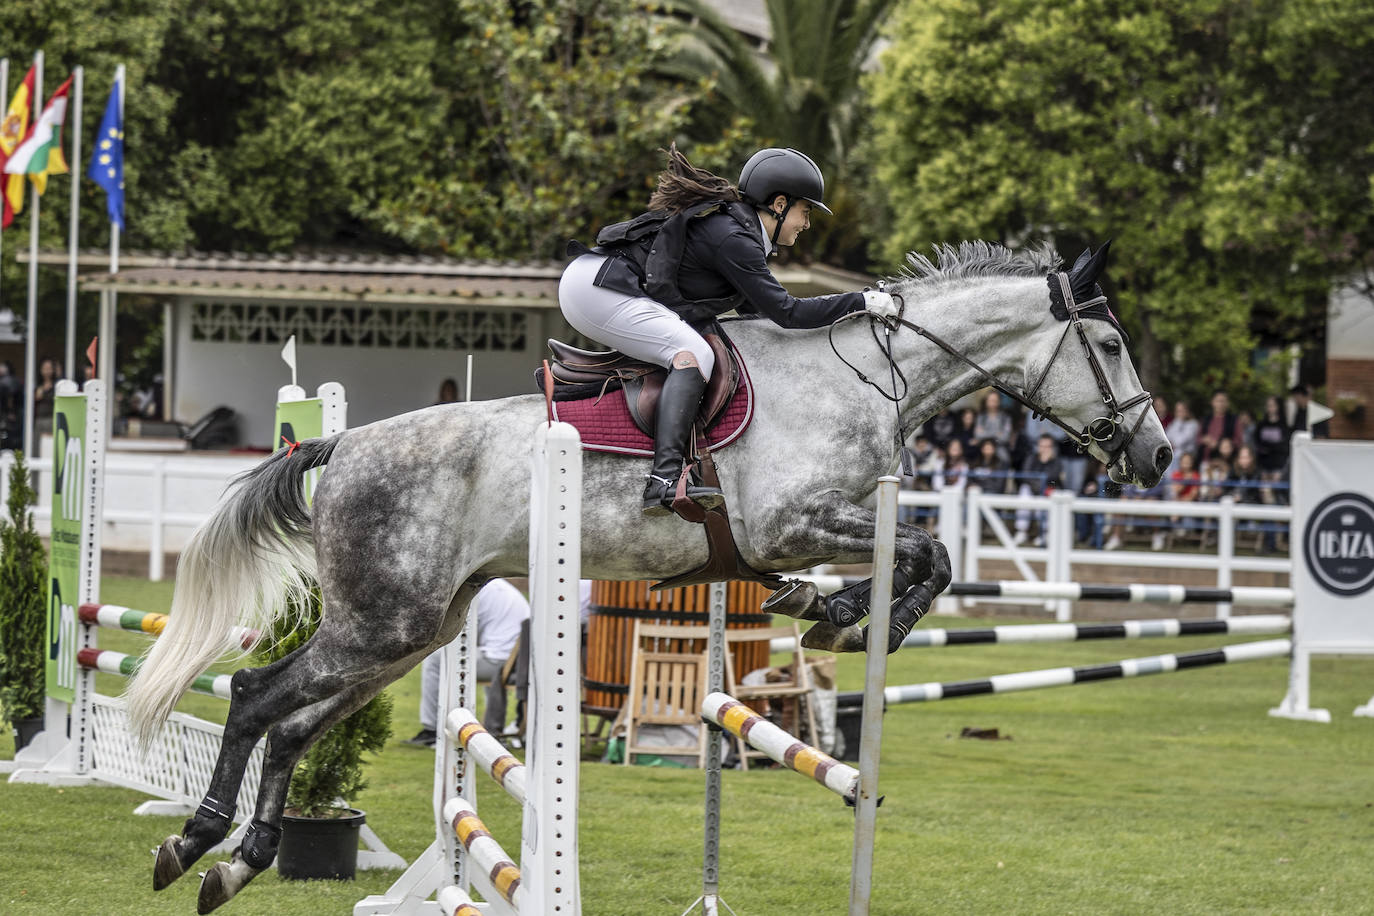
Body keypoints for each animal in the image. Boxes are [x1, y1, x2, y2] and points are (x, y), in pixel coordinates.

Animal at [126, 240, 1170, 911]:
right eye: (1114, 346)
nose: (1158, 456)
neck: (867, 374)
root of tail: (342, 445)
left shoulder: (800, 530)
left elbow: (924, 556)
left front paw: (822, 608)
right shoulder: (785, 522)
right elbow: (929, 553)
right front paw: (836, 613)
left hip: (412, 628)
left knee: (293, 721)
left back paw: (236, 864)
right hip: (379, 623)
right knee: (258, 697)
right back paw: (194, 845)